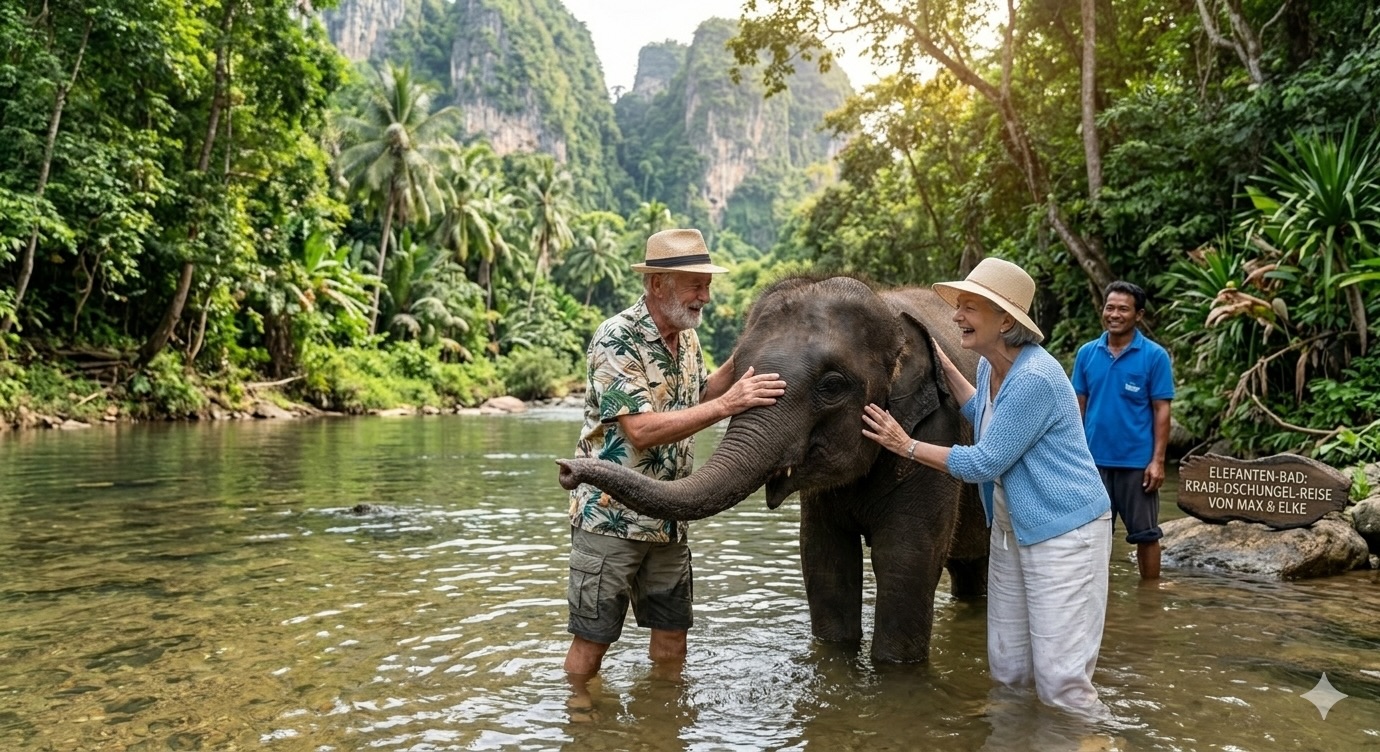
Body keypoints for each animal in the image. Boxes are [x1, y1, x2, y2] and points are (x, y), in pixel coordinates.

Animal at [556, 275, 987, 664]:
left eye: (832, 386)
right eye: (739, 368)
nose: (566, 470)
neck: (888, 309)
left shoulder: (938, 430)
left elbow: (905, 563)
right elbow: (824, 562)